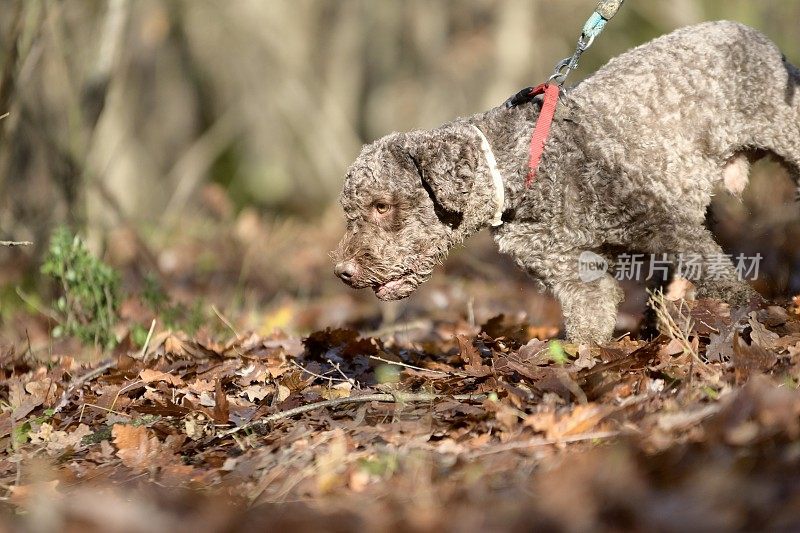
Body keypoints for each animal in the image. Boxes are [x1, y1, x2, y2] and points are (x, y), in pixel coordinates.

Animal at [332, 21, 800, 340]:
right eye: (351, 210)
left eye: (381, 205)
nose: (343, 272)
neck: (520, 172)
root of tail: (750, 33)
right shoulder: (573, 273)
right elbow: (589, 323)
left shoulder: (665, 224)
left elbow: (723, 282)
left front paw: (752, 318)